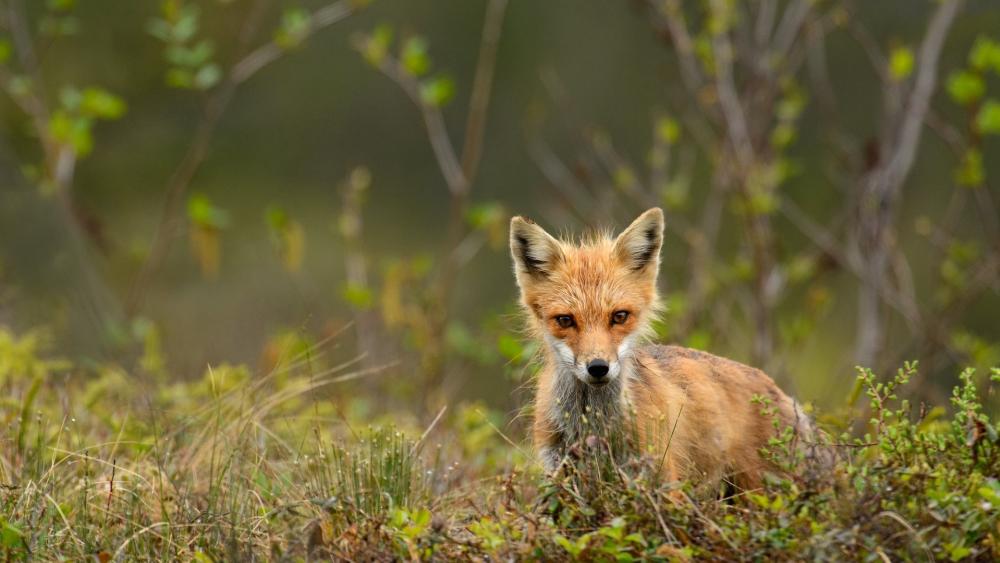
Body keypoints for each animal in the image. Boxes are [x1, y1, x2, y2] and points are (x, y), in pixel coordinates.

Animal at [509, 207, 819, 491]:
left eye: (619, 316)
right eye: (565, 320)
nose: (598, 367)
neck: (592, 426)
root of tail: (780, 393)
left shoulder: (660, 481)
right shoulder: (560, 474)